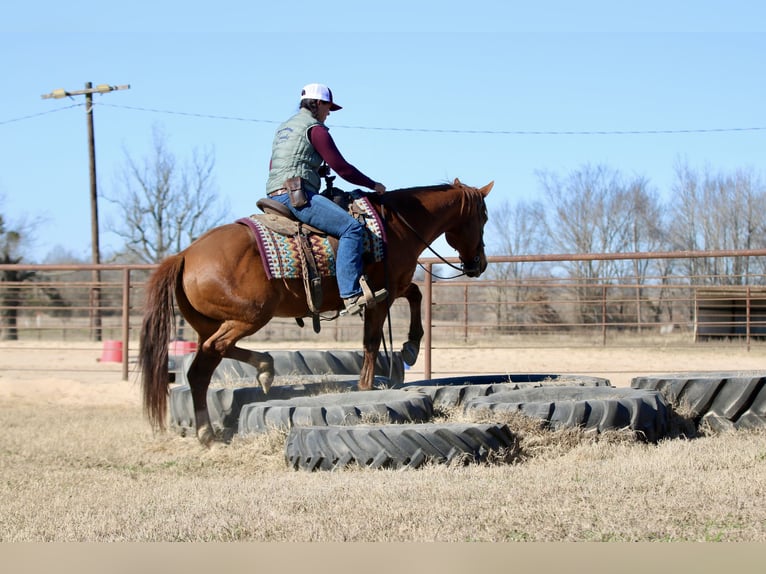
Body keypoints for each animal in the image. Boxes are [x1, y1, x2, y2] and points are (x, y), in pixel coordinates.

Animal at [139, 178, 493, 445]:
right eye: (484, 218)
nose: (480, 263)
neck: (396, 226)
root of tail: (184, 255)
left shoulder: (397, 286)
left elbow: (417, 295)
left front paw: (410, 347)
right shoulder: (381, 295)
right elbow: (371, 341)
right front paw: (368, 385)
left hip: (211, 324)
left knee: (203, 367)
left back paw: (230, 407)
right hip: (249, 316)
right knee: (212, 354)